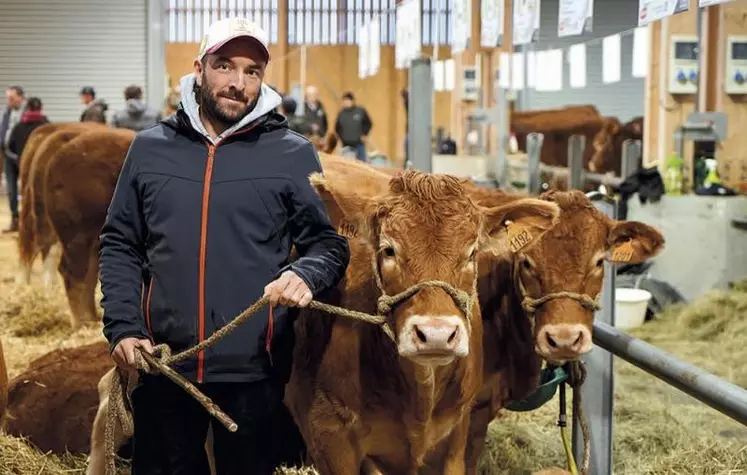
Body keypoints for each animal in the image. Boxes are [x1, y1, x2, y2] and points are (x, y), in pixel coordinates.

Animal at [42, 128, 137, 330]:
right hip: (77, 233)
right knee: (72, 273)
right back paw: (82, 323)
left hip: (94, 237)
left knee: (90, 274)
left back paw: (92, 318)